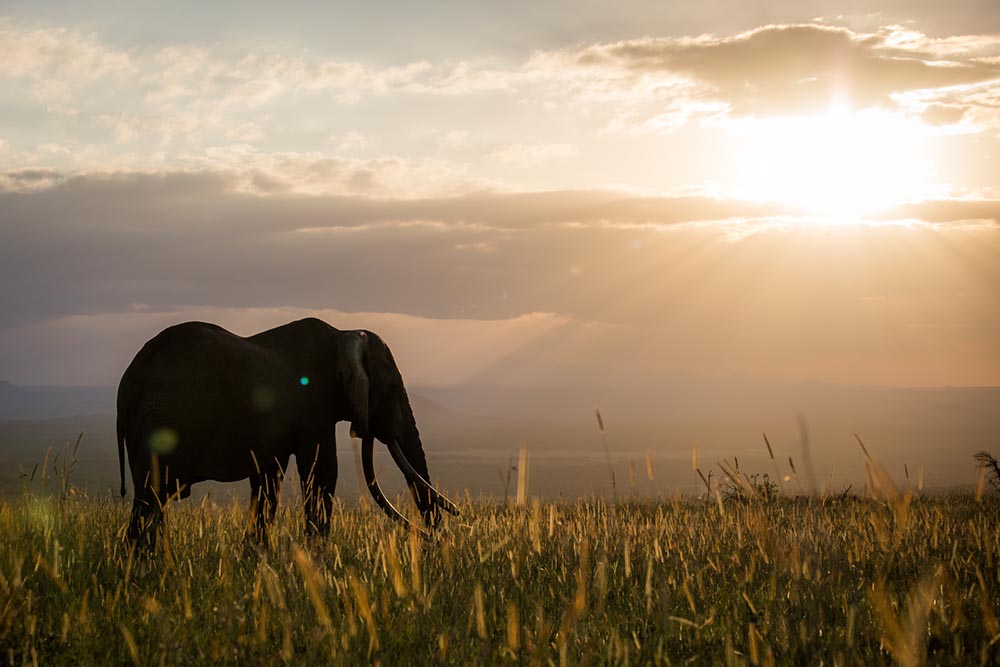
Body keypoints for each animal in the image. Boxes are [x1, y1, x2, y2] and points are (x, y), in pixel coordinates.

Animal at [116, 318, 458, 548]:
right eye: (391, 390)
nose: (442, 534)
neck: (342, 332)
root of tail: (128, 380)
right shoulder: (314, 406)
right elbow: (322, 472)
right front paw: (318, 556)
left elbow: (269, 479)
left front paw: (257, 556)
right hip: (164, 420)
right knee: (152, 498)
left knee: (150, 502)